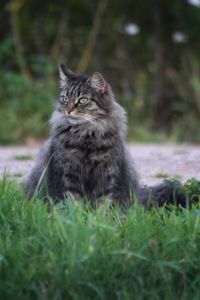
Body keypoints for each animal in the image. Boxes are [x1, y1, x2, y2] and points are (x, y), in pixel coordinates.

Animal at [25, 64, 186, 207]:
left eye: (82, 100)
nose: (68, 111)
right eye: (65, 98)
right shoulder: (68, 173)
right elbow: (73, 202)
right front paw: (77, 217)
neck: (87, 133)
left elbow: (103, 204)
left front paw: (99, 219)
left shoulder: (107, 174)